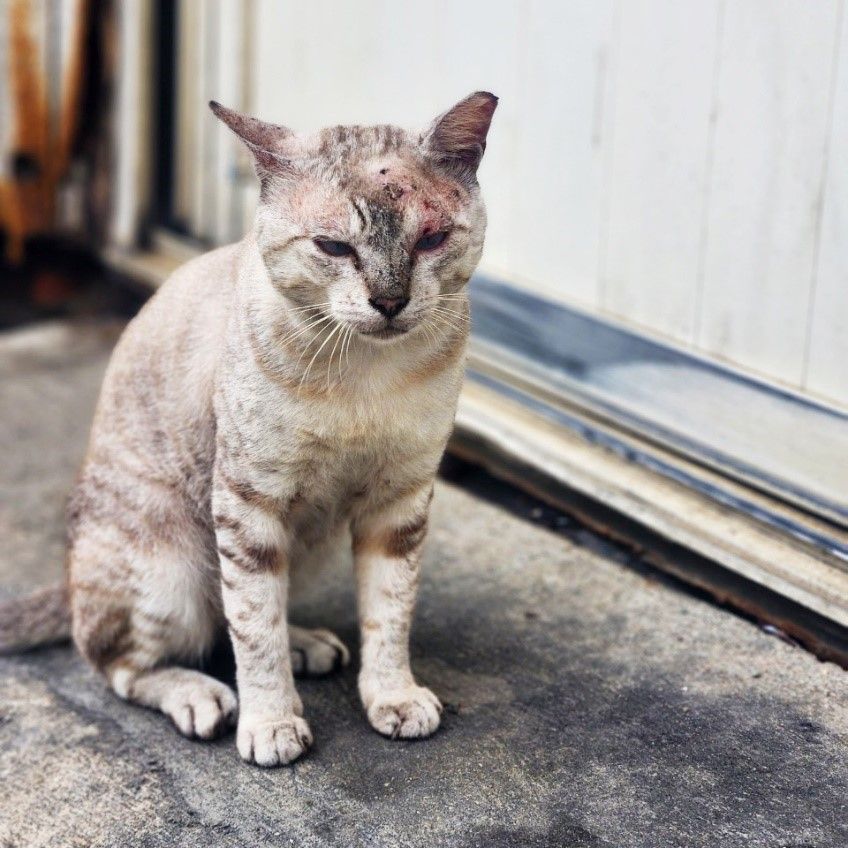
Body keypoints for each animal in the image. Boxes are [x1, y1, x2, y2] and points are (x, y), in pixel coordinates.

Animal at [0, 93, 496, 768]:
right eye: (333, 247)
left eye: (433, 239)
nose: (390, 302)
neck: (365, 374)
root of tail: (71, 584)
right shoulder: (249, 503)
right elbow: (254, 628)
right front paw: (272, 722)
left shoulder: (401, 502)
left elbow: (388, 614)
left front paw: (392, 697)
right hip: (169, 570)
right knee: (126, 662)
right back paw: (201, 696)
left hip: (308, 543)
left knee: (227, 624)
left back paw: (305, 644)